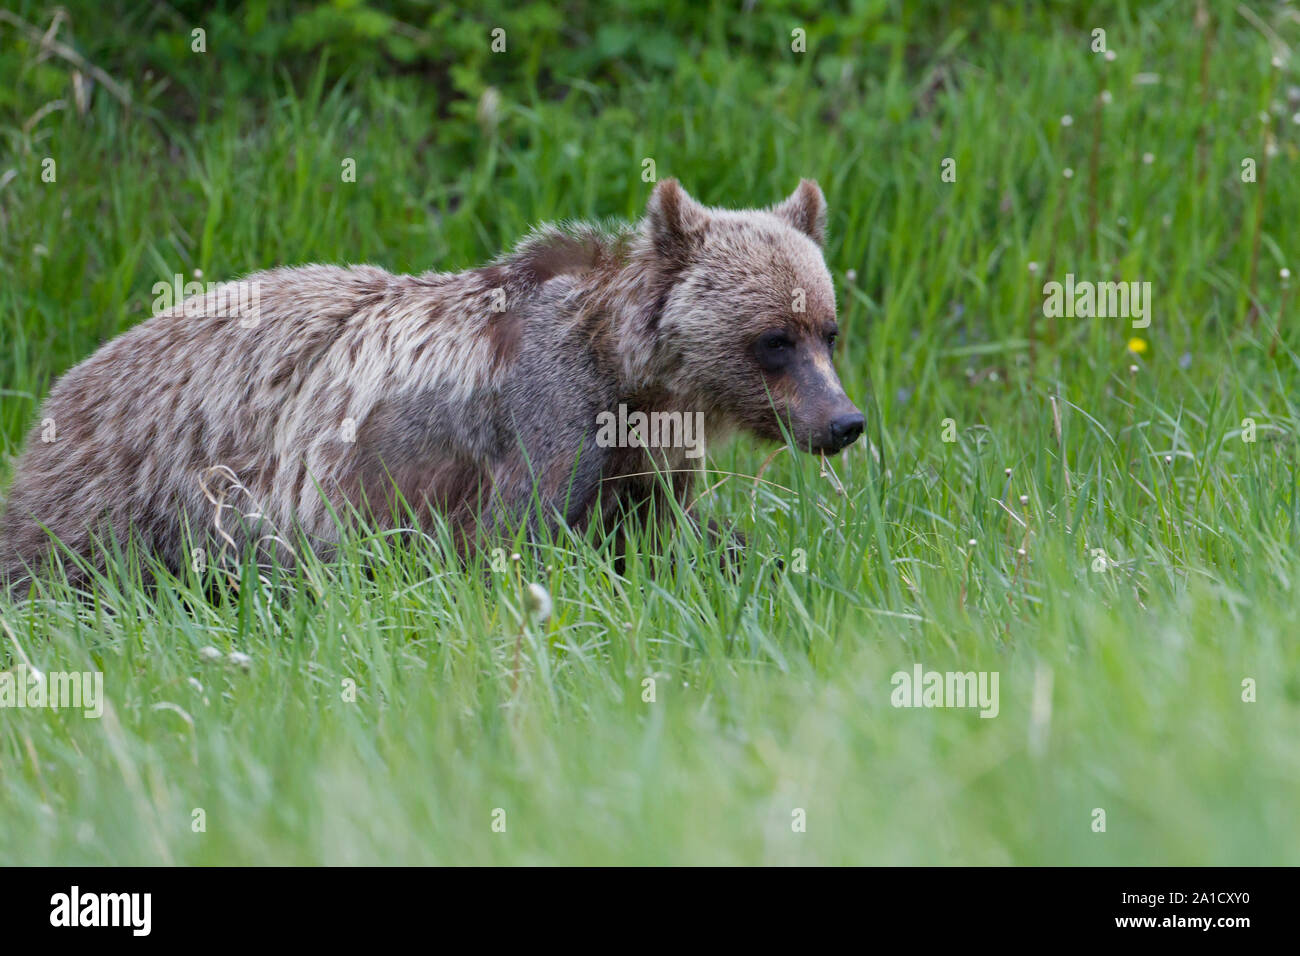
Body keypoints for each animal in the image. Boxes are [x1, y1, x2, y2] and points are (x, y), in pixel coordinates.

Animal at [0, 179, 864, 588]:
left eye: (828, 329)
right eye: (773, 339)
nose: (843, 421)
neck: (633, 379)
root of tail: (63, 384)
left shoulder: (646, 460)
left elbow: (667, 540)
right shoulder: (543, 420)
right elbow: (523, 545)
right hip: (128, 491)